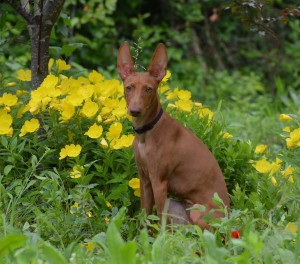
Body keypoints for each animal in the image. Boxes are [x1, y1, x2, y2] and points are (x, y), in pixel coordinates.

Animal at [117, 41, 230, 229]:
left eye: (149, 89)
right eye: (129, 87)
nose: (135, 110)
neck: (147, 131)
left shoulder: (159, 181)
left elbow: (159, 219)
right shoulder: (144, 179)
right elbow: (145, 216)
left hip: (197, 211)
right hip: (176, 205)